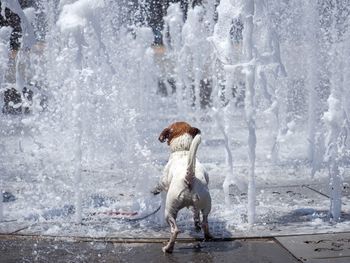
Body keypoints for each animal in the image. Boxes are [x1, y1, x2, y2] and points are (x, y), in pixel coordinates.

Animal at [152, 121, 212, 254]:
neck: (183, 150)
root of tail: (189, 176)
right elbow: (196, 213)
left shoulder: (163, 181)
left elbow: (159, 185)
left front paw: (154, 190)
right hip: (206, 205)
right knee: (204, 222)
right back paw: (207, 235)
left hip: (169, 211)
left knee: (175, 230)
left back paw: (168, 248)